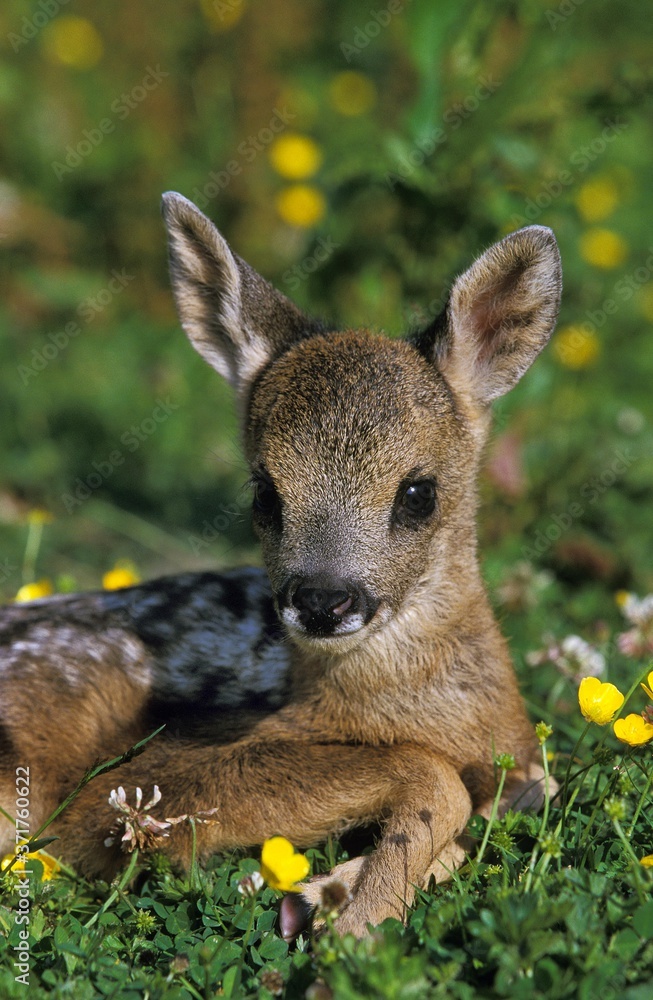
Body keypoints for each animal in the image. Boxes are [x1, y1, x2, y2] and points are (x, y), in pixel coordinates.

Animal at [0, 193, 562, 937]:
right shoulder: (113, 791)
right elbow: (432, 777)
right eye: (264, 492)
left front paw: (338, 898)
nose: (323, 598)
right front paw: (353, 919)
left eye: (419, 493)